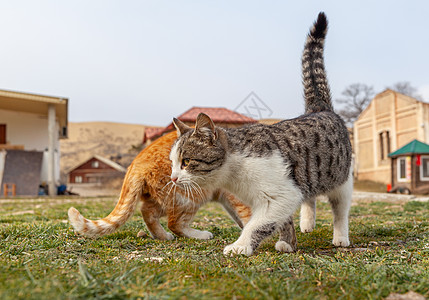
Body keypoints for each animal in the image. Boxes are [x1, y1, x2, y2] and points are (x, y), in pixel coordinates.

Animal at [68, 131, 252, 241]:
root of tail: (136, 162)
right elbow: (247, 214)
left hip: (164, 198)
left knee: (147, 211)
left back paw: (162, 236)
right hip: (190, 196)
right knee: (175, 223)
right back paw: (199, 235)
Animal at [168, 12, 352, 255]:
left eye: (186, 161)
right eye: (172, 163)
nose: (173, 178)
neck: (233, 172)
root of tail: (319, 109)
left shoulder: (279, 195)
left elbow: (257, 224)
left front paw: (240, 246)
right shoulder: (281, 195)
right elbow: (283, 219)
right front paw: (288, 242)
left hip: (342, 179)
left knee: (340, 210)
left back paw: (340, 237)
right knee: (309, 198)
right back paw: (307, 222)